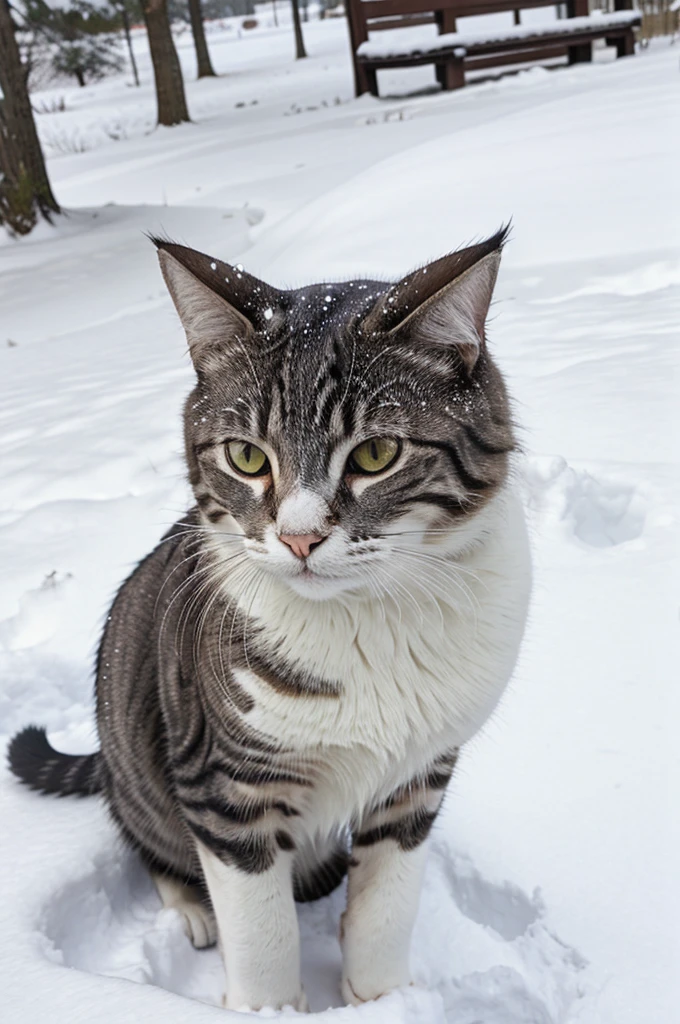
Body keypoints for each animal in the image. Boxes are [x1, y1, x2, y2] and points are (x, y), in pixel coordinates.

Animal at [7, 228, 532, 1011]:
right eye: (247, 456)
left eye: (376, 452)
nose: (299, 538)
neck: (365, 621)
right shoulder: (220, 779)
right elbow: (260, 928)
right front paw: (269, 1008)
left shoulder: (420, 772)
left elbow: (387, 904)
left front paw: (381, 999)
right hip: (136, 747)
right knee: (146, 837)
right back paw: (190, 910)